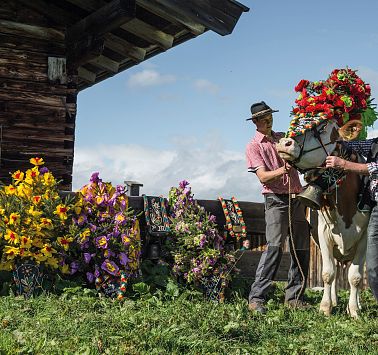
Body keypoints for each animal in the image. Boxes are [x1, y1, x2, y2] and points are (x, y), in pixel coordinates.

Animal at [274, 121, 370, 318]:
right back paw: (333, 300)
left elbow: (355, 277)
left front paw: (354, 310)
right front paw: (325, 308)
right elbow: (327, 273)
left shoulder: (363, 238)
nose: (283, 142)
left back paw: (355, 304)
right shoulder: (324, 234)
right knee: (333, 271)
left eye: (323, 128)